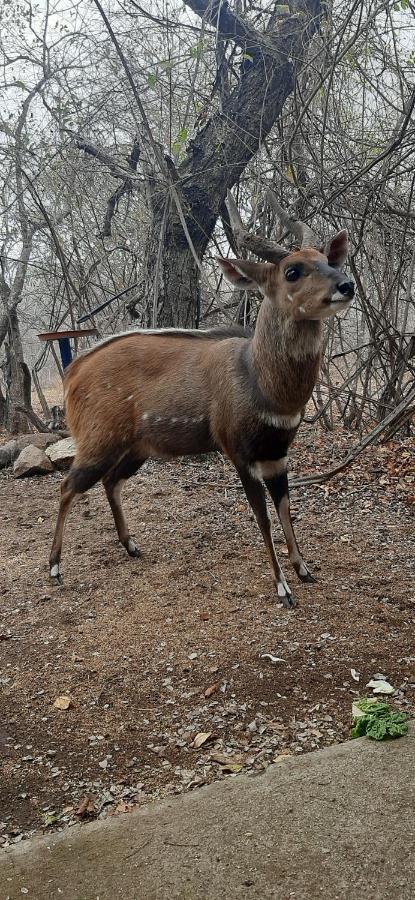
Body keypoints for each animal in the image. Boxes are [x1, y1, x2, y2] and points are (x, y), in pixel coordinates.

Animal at [48, 192, 354, 608]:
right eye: (293, 271)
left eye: (328, 260)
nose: (347, 285)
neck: (261, 383)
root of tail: (73, 371)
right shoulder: (240, 453)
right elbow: (263, 517)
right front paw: (282, 589)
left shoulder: (276, 454)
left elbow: (286, 509)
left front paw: (305, 571)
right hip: (98, 443)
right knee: (67, 486)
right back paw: (55, 569)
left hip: (137, 449)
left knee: (111, 482)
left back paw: (132, 546)